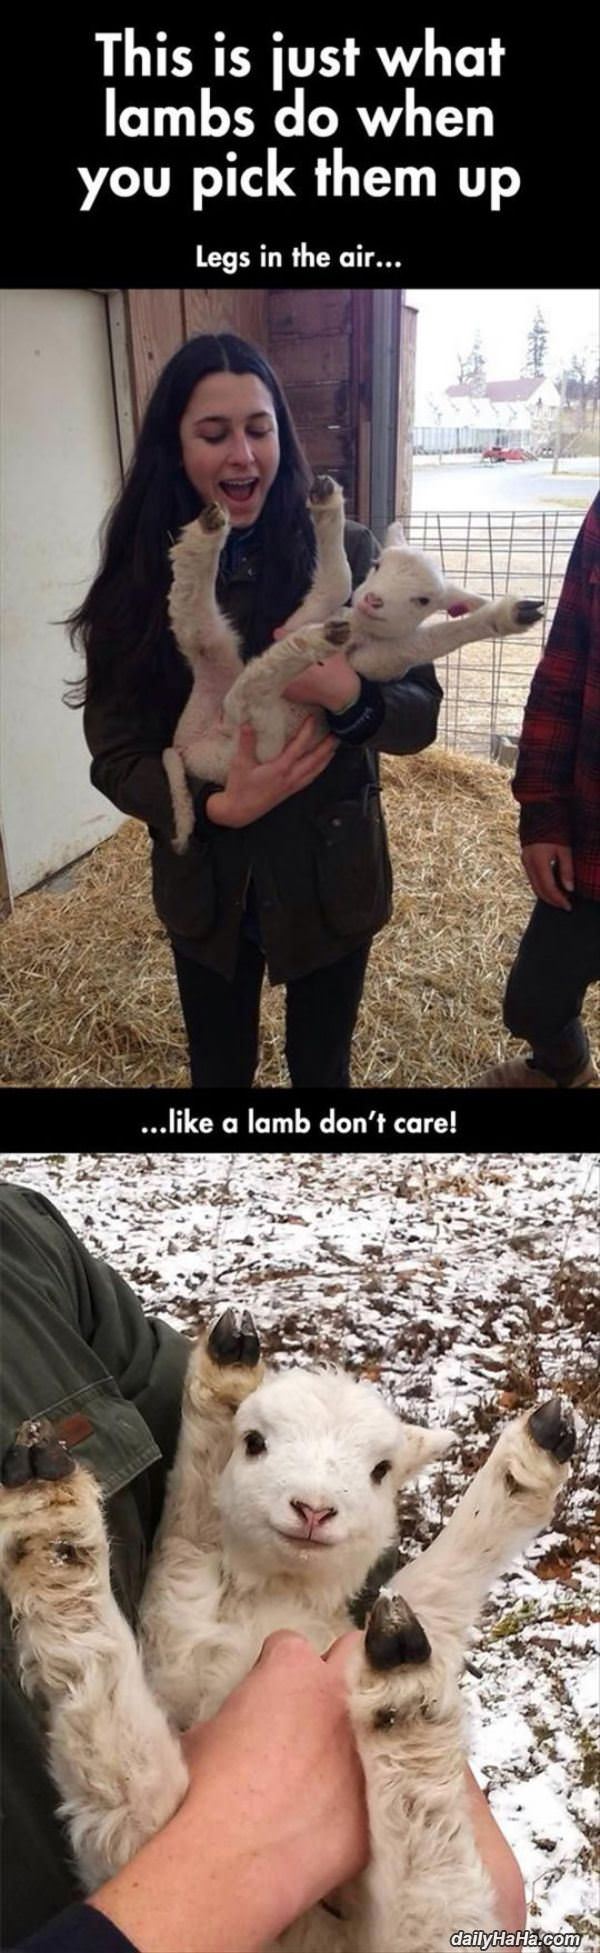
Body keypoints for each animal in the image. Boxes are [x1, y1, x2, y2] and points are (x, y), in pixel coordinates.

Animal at [0, 1308, 576, 1952]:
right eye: (255, 1443)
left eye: (380, 1471)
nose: (314, 1509)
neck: (275, 1596)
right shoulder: (171, 1667)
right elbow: (189, 1529)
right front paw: (220, 1386)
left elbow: (436, 1588)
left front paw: (525, 1470)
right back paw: (50, 1519)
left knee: (437, 1907)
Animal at [163, 477, 543, 849]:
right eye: (377, 565)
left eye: (423, 600)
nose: (372, 600)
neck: (359, 627)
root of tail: (190, 745)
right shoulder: (305, 616)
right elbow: (338, 582)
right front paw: (327, 505)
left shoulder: (382, 661)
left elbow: (425, 643)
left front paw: (507, 615)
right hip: (225, 698)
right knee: (198, 630)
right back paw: (207, 535)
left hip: (261, 741)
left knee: (237, 677)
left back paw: (313, 640)